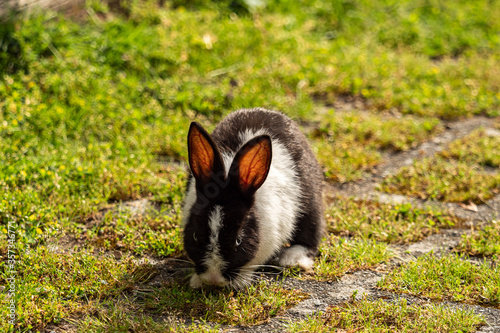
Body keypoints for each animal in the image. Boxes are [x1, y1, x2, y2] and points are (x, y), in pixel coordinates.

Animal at [183, 107, 324, 288]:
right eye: (194, 236)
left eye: (238, 241)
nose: (213, 279)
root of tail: (266, 111)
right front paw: (196, 282)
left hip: (309, 199)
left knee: (312, 230)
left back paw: (292, 259)